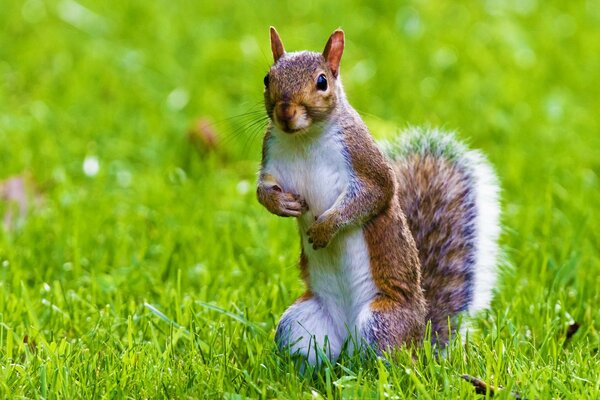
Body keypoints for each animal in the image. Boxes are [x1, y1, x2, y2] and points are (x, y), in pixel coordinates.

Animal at [255, 27, 500, 366]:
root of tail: (420, 340)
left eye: (322, 82)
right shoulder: (271, 156)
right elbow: (262, 190)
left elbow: (375, 196)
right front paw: (281, 204)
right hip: (300, 323)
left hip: (381, 321)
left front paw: (325, 228)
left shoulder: (364, 160)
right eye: (267, 78)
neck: (304, 137)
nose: (285, 112)